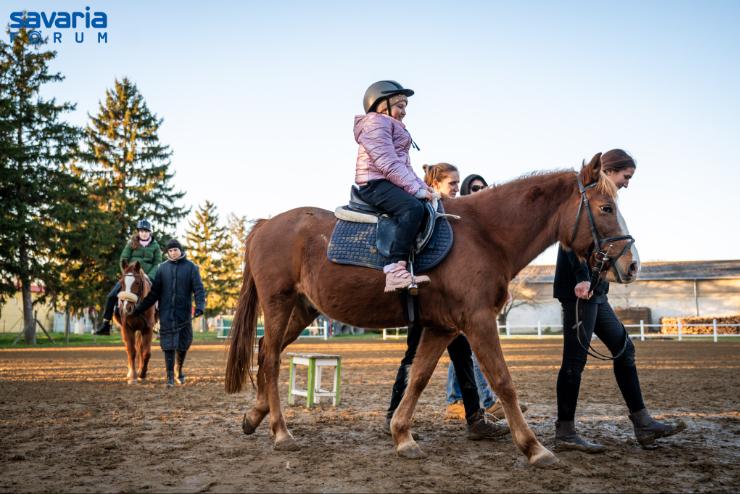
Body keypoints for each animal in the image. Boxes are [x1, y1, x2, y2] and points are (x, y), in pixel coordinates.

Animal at [224, 154, 636, 466]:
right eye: (606, 207)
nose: (631, 265)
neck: (484, 235)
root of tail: (266, 225)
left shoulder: (443, 328)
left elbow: (418, 377)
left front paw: (402, 436)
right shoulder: (479, 321)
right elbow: (503, 381)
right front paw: (535, 448)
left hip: (302, 310)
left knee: (266, 352)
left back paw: (255, 416)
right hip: (279, 304)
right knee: (271, 359)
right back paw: (281, 432)